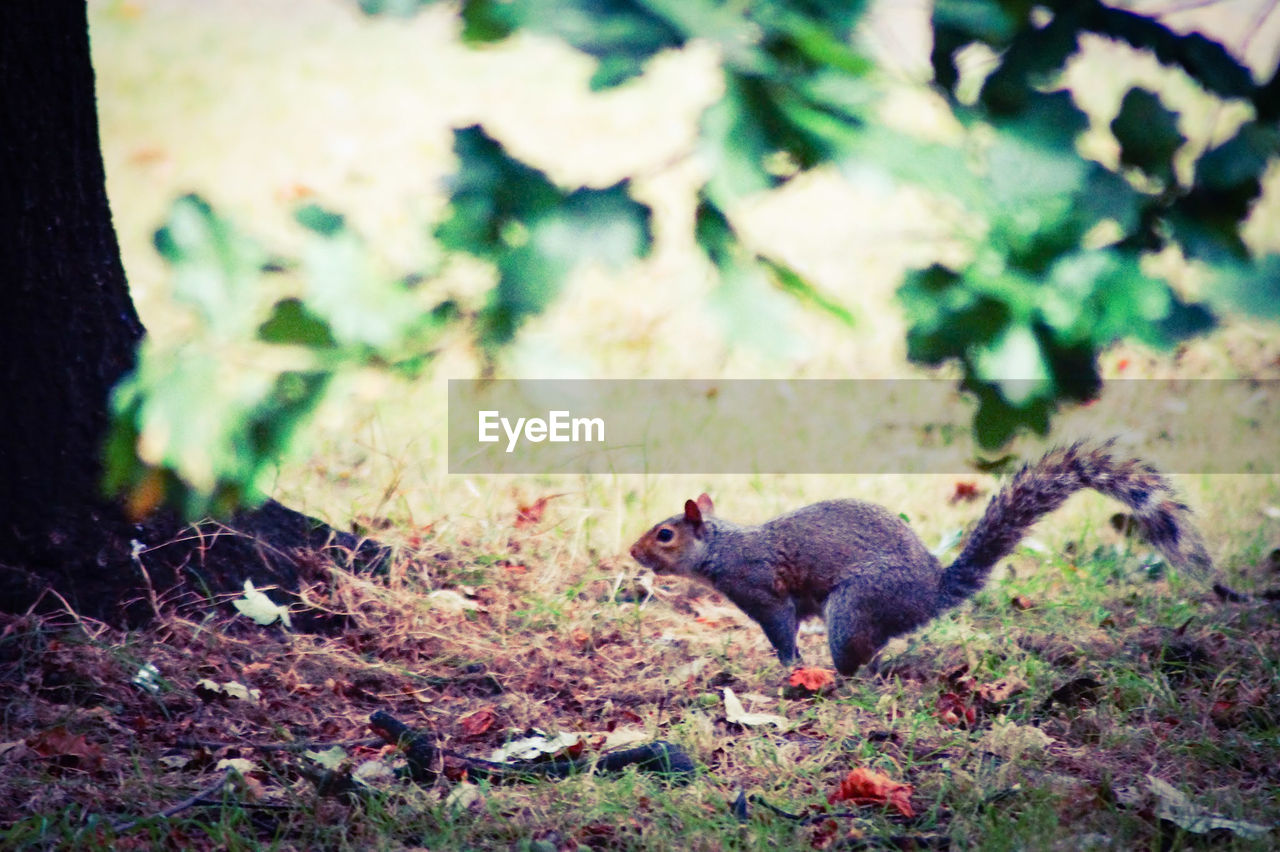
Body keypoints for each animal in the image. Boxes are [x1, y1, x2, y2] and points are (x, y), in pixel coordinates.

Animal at [629, 440, 1239, 675]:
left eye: (665, 534)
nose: (633, 552)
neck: (722, 548)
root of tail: (929, 593)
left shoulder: (761, 589)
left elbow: (781, 631)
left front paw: (788, 667)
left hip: (855, 604)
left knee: (858, 658)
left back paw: (840, 675)